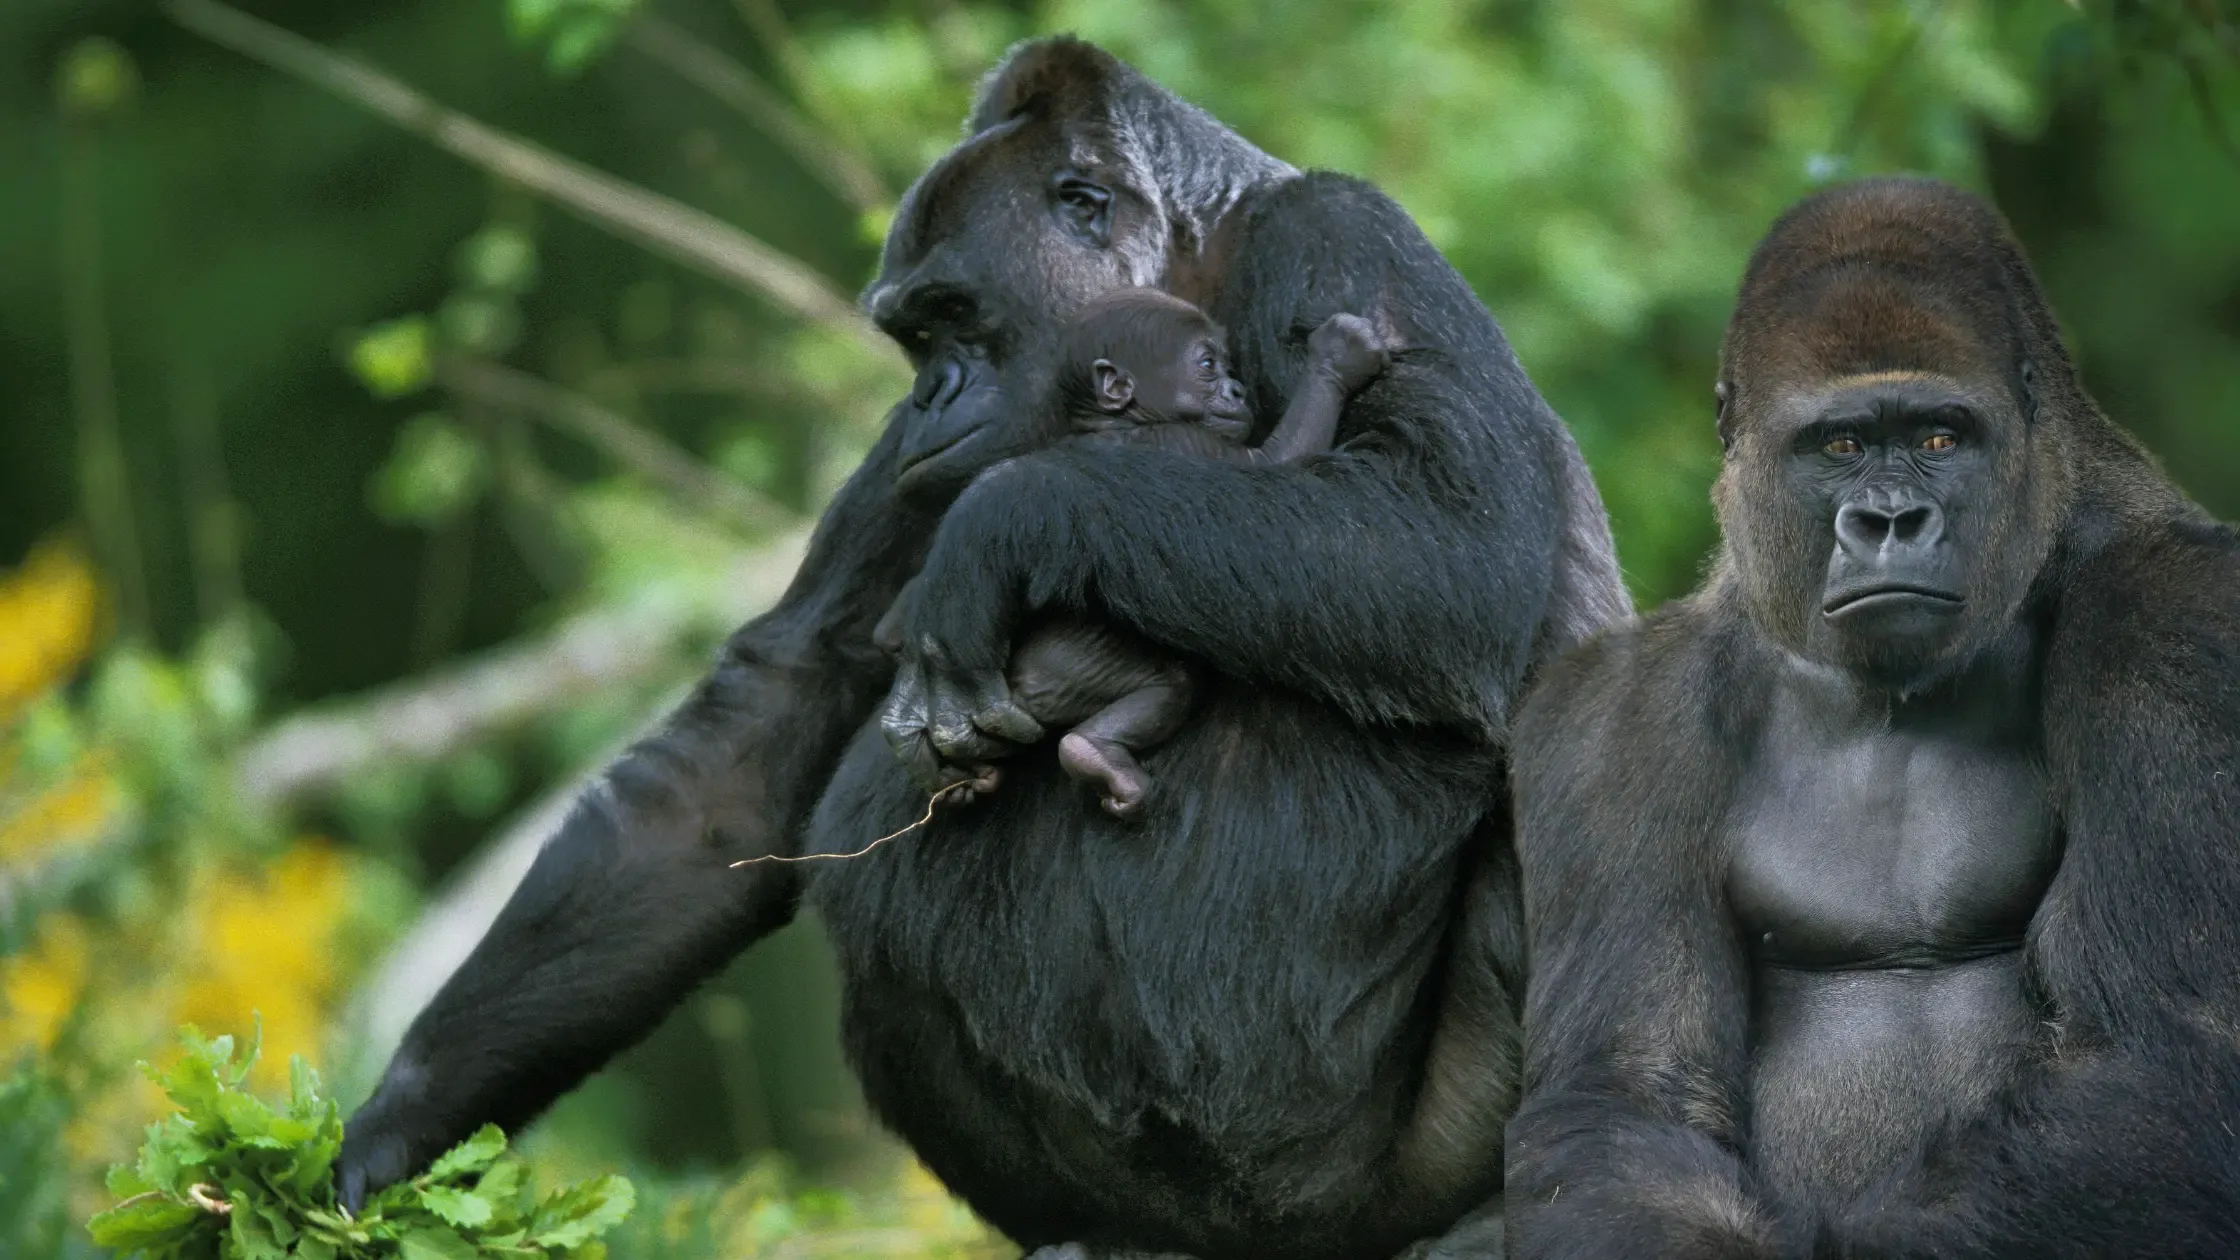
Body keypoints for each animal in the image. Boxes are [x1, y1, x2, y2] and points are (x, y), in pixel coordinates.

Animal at [873, 284, 1379, 816]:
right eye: (1207, 365)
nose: (1237, 391)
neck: (1113, 419)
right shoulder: (1188, 439)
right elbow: (1275, 460)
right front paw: (1338, 357)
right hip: (1070, 675)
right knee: (1169, 684)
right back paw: (1097, 755)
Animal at [1505, 177, 2240, 1255]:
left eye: (1939, 437)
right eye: (1840, 445)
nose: (1890, 521)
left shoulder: (2174, 621)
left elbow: (2162, 1039)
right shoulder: (1616, 719)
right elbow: (1623, 1099)